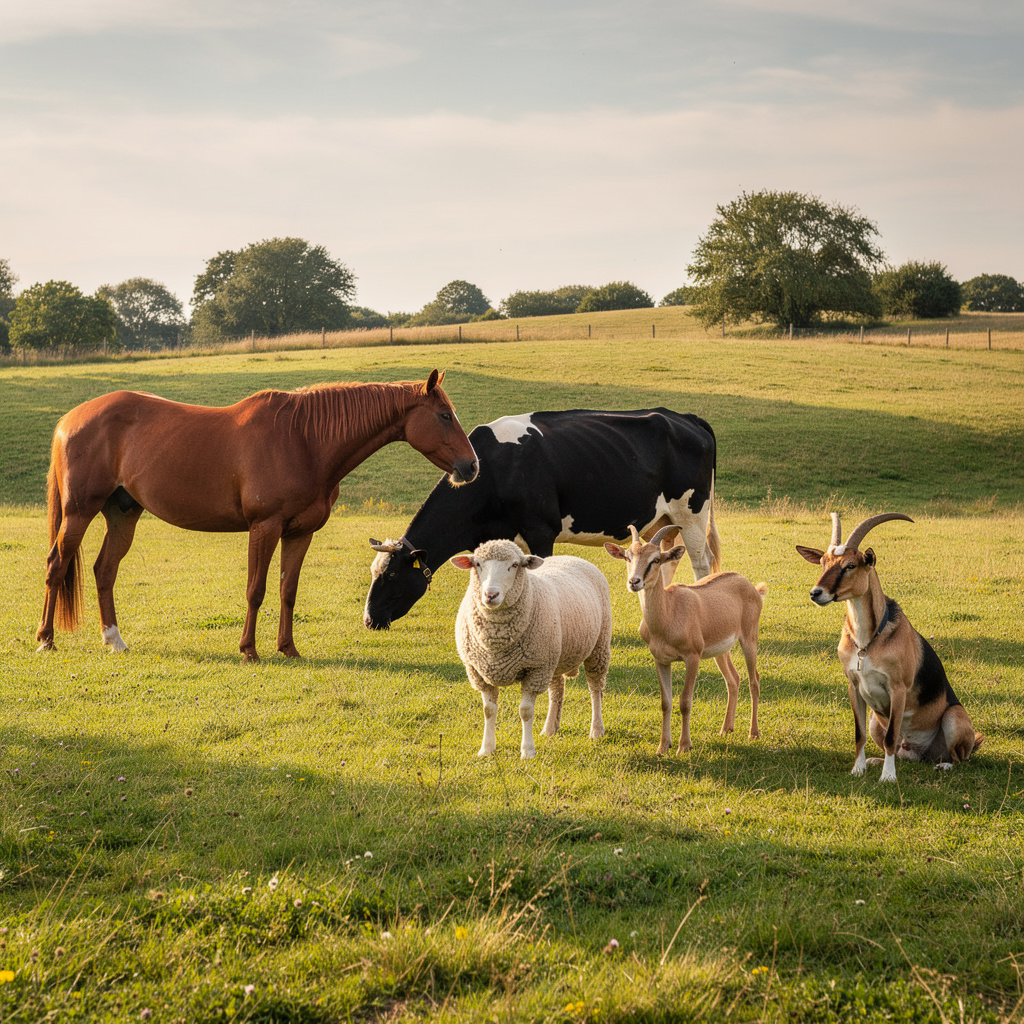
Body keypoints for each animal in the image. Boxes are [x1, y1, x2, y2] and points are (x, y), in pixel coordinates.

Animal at [36, 369, 478, 661]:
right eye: (444, 415)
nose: (471, 467)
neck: (304, 440)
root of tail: (69, 420)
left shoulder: (300, 533)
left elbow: (287, 591)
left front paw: (288, 648)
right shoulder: (263, 528)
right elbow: (256, 589)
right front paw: (248, 649)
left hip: (122, 514)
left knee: (104, 570)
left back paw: (114, 640)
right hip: (78, 513)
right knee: (57, 565)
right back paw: (46, 639)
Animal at [363, 408, 721, 629]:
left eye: (392, 575)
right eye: (374, 572)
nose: (369, 619)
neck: (497, 468)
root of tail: (684, 417)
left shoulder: (541, 530)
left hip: (692, 512)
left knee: (701, 562)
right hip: (663, 521)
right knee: (668, 559)